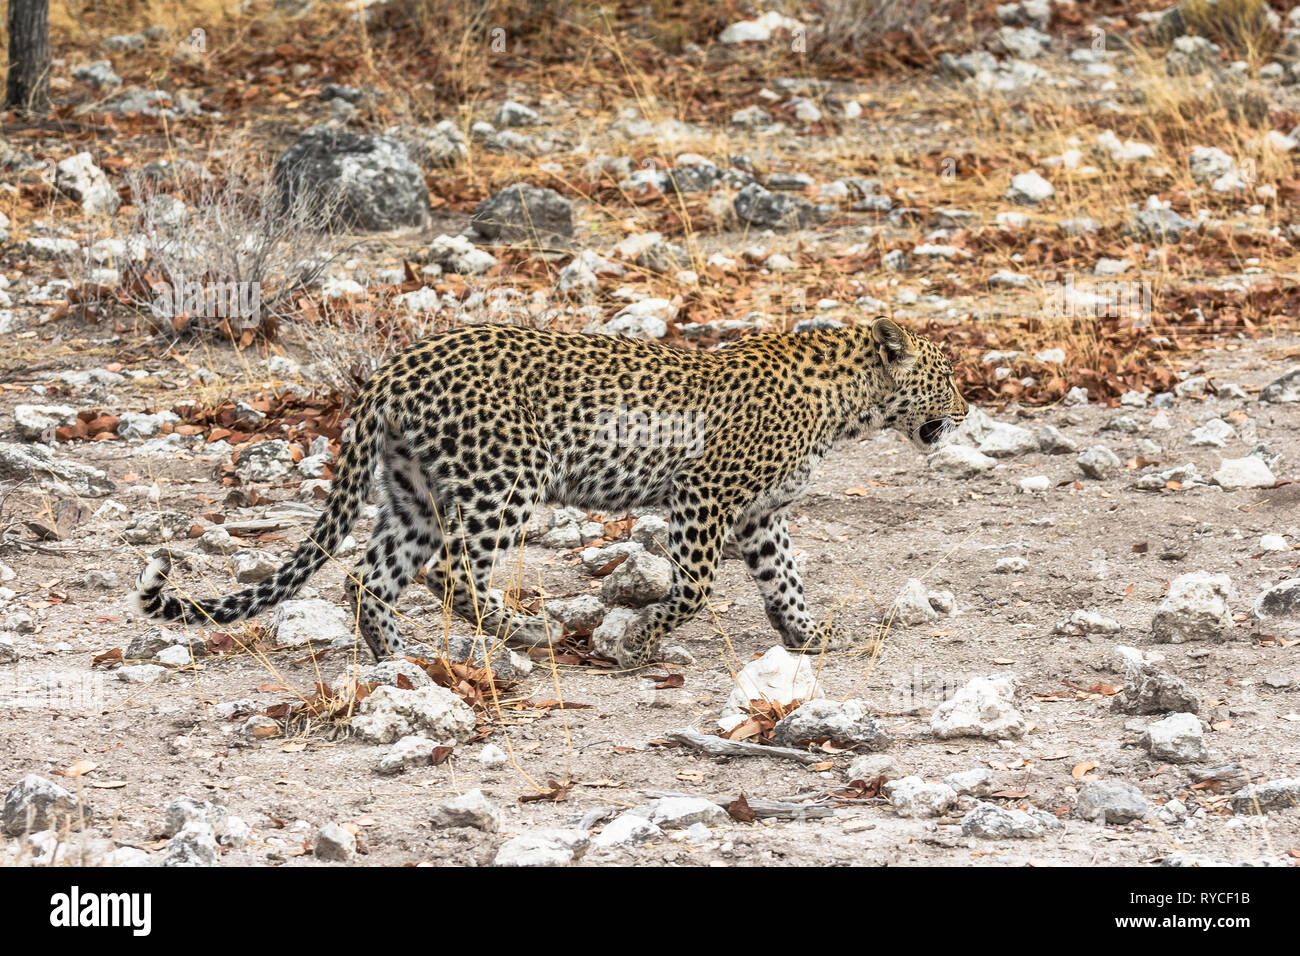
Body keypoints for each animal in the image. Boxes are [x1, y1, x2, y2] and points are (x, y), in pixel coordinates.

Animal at [131, 317, 967, 671]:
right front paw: (638, 641)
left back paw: (402, 660)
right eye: (948, 375)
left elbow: (784, 579)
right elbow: (695, 589)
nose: (967, 410)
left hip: (415, 492)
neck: (847, 405)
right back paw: (522, 633)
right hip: (503, 480)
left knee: (371, 575)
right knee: (451, 570)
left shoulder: (761, 515)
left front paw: (807, 635)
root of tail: (392, 369)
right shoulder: (703, 497)